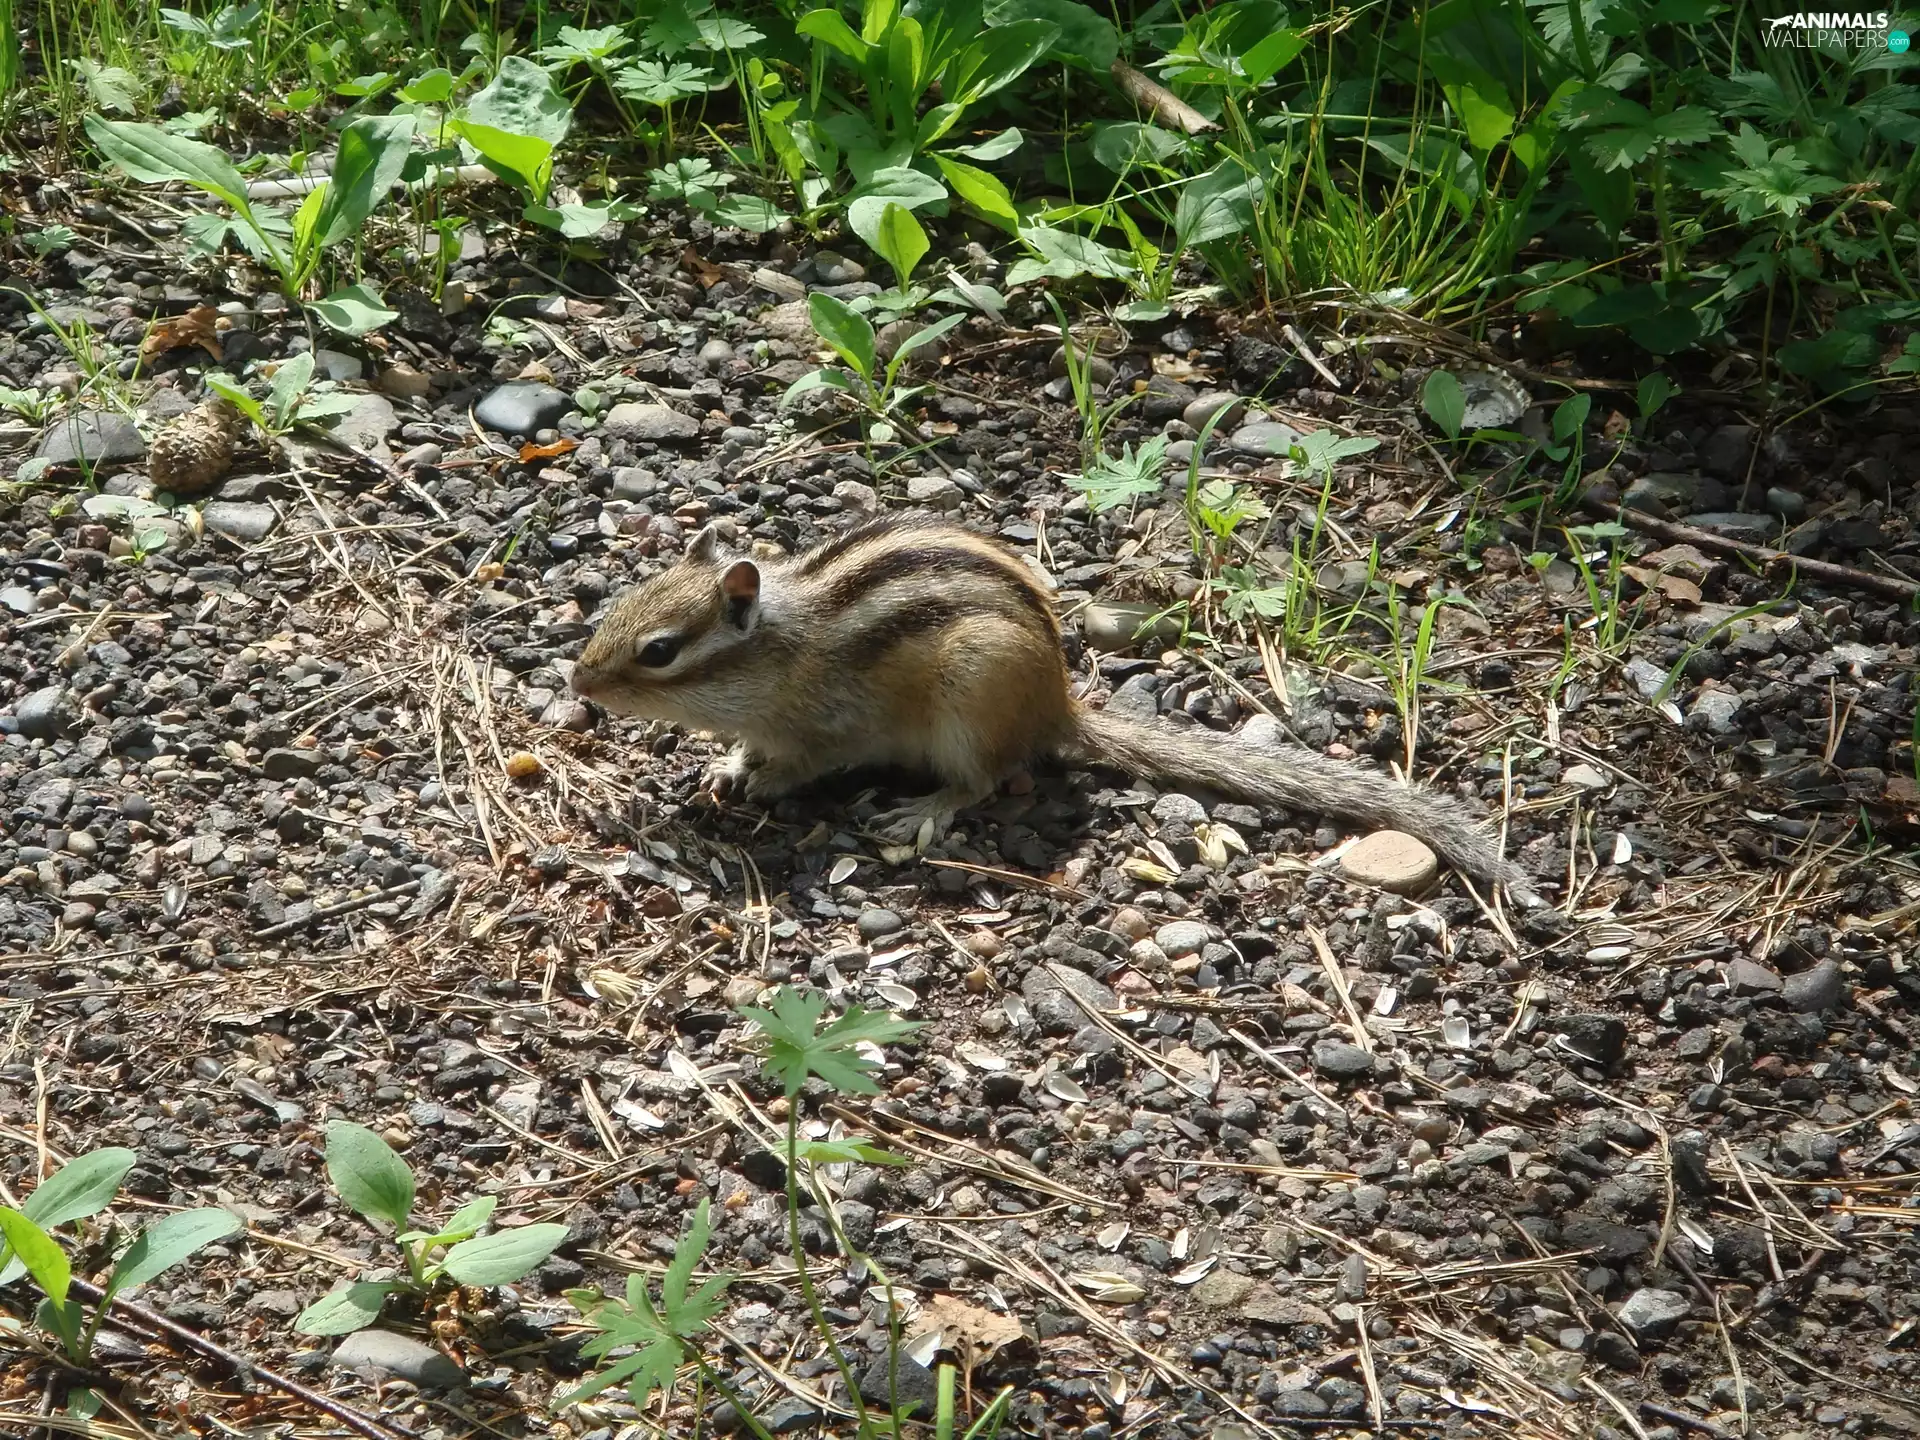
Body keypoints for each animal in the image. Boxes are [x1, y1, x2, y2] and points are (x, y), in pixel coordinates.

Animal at [571, 513, 1539, 904]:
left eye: (659, 651)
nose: (580, 684)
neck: (778, 647)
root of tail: (1059, 709)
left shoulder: (826, 723)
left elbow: (804, 763)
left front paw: (764, 783)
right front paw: (727, 763)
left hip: (971, 696)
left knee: (989, 776)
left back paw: (925, 809)